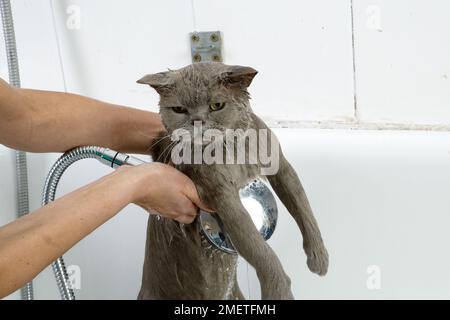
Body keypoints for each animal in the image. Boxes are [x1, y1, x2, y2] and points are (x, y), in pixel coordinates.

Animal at [136, 62, 326, 300]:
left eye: (216, 105)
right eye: (179, 109)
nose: (197, 121)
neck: (234, 151)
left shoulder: (282, 167)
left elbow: (304, 209)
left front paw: (319, 258)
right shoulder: (222, 195)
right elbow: (261, 251)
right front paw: (278, 290)